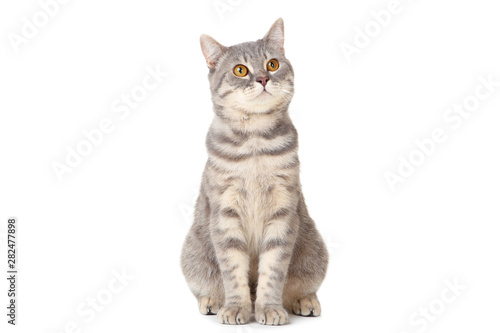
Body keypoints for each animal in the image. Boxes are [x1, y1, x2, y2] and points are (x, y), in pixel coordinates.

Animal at [182, 17, 330, 324]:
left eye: (272, 64)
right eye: (240, 70)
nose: (263, 79)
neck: (255, 143)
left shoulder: (283, 210)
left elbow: (273, 270)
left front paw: (270, 309)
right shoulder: (225, 212)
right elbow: (233, 270)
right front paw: (236, 307)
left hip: (315, 252)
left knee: (301, 285)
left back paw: (305, 300)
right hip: (193, 255)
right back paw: (212, 300)